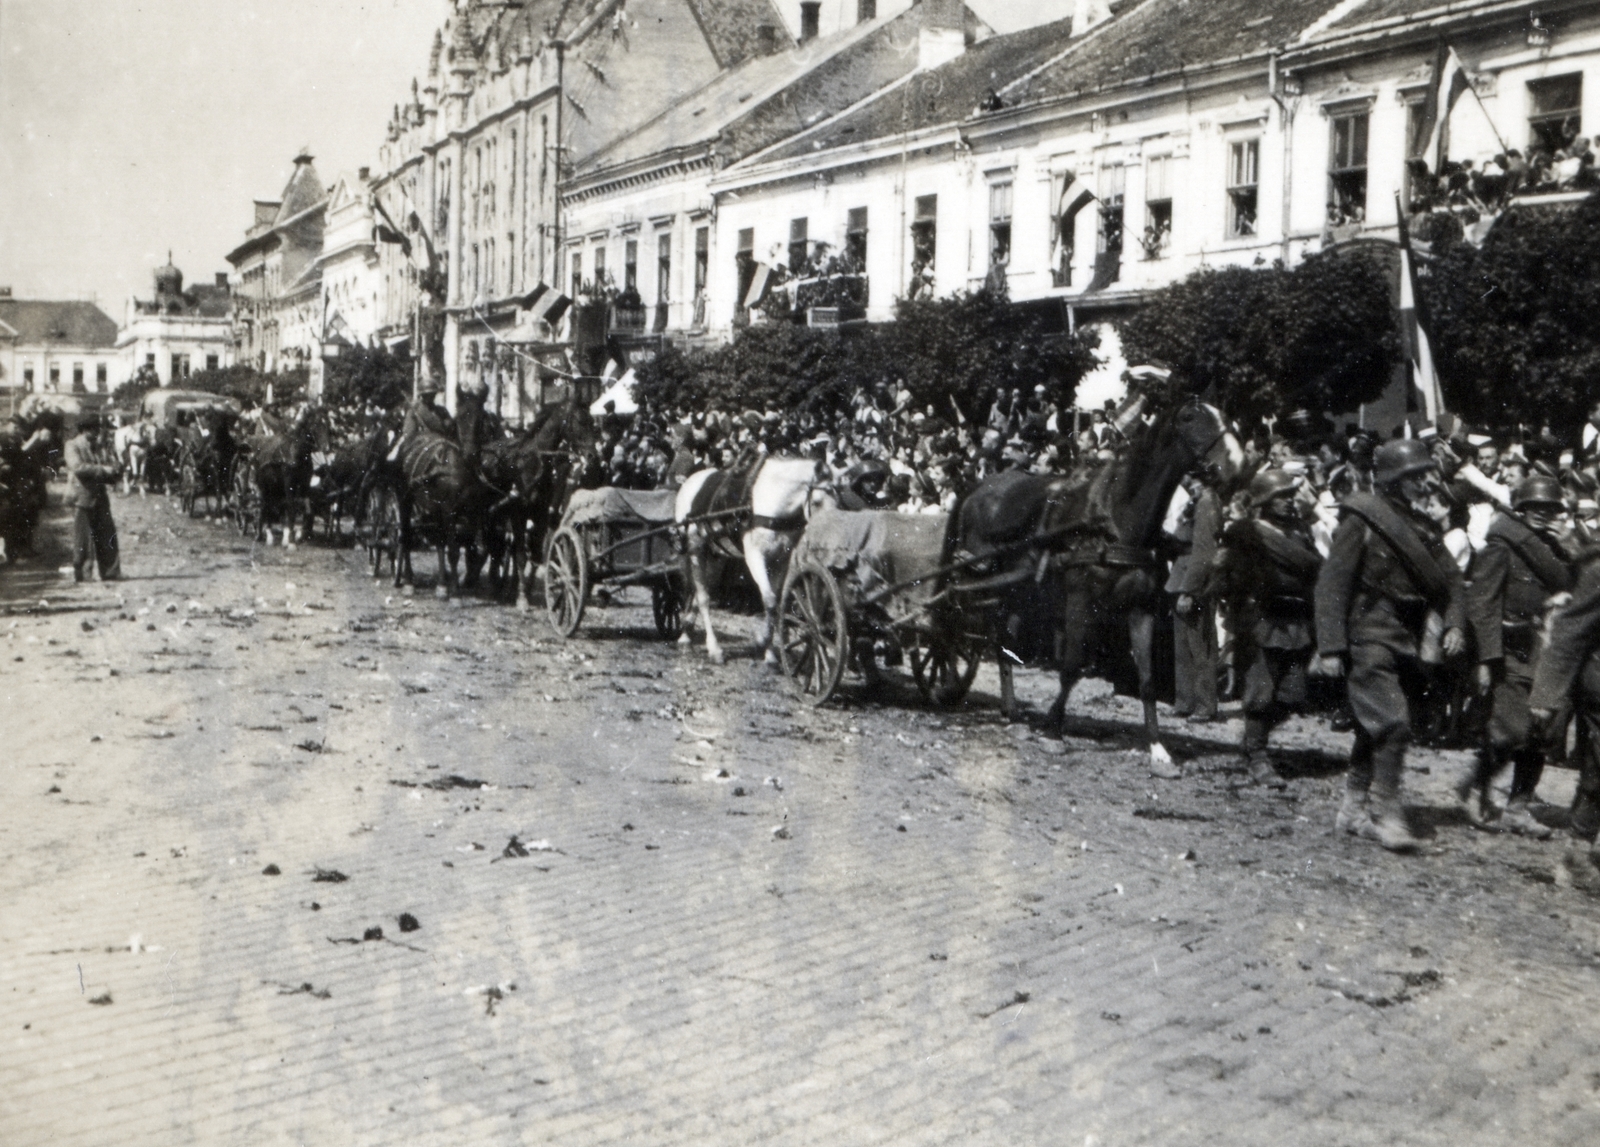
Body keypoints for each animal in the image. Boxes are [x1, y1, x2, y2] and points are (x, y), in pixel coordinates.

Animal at [476, 398, 601, 607]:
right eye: (580, 421)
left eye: (593, 422)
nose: (592, 455)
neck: (533, 463)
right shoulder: (517, 513)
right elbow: (520, 555)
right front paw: (521, 599)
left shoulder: (541, 515)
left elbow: (534, 553)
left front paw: (523, 590)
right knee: (493, 542)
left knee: (499, 543)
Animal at [672, 447, 825, 662]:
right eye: (817, 502)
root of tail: (690, 481)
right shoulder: (755, 556)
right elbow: (769, 599)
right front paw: (763, 642)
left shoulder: (781, 560)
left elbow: (775, 602)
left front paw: (769, 652)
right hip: (695, 549)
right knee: (702, 597)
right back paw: (713, 648)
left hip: (716, 554)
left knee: (698, 590)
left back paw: (686, 633)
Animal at [953, 393, 1241, 777]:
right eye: (1191, 419)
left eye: (1225, 417)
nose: (1237, 465)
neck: (1114, 519)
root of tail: (978, 488)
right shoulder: (1079, 601)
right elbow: (1072, 666)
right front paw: (1053, 731)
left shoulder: (1141, 608)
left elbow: (1146, 679)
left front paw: (1158, 749)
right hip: (984, 586)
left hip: (1017, 593)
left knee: (1004, 643)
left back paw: (1011, 711)